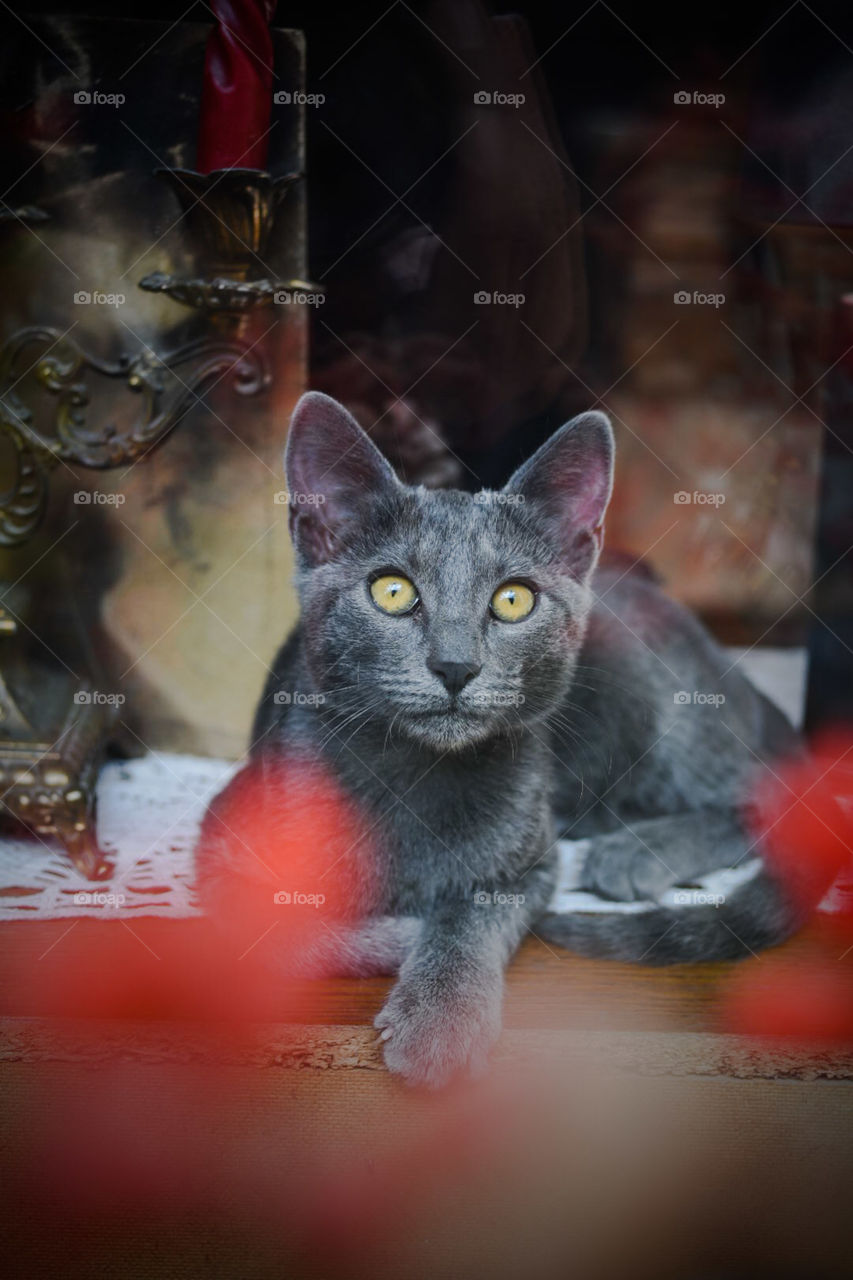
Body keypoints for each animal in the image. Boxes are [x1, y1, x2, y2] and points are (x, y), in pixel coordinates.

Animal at [194, 391, 819, 1090]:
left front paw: (441, 1017)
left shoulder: (530, 865)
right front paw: (402, 936)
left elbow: (469, 912)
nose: (455, 666)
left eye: (514, 599)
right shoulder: (218, 849)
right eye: (392, 590)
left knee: (765, 796)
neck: (416, 778)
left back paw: (635, 852)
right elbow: (271, 935)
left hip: (660, 697)